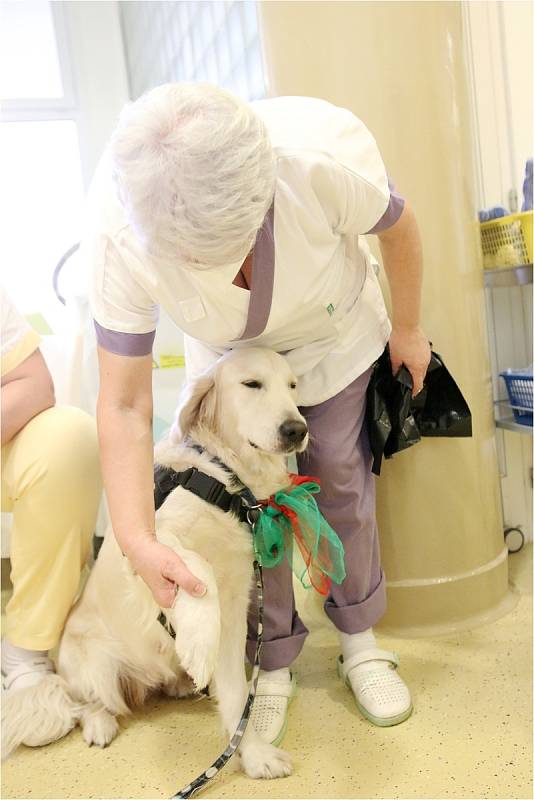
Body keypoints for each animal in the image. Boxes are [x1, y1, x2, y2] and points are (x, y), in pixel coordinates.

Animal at [2, 348, 310, 780]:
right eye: (252, 384)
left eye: (293, 385)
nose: (297, 429)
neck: (224, 477)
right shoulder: (151, 544)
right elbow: (197, 569)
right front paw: (198, 645)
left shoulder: (236, 605)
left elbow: (236, 693)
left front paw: (251, 754)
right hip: (92, 667)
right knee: (87, 703)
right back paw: (100, 723)